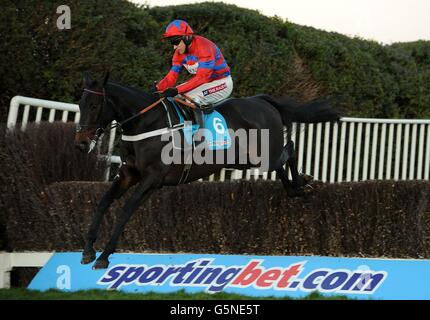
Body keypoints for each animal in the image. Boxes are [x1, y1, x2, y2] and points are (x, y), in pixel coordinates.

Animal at [75, 71, 340, 268]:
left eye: (95, 105)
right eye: (80, 103)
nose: (80, 143)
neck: (146, 123)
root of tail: (263, 101)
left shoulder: (152, 178)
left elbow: (125, 210)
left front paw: (104, 256)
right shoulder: (129, 175)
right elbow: (103, 202)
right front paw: (88, 249)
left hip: (265, 154)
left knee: (291, 148)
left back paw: (303, 184)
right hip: (249, 160)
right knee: (281, 164)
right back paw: (296, 188)